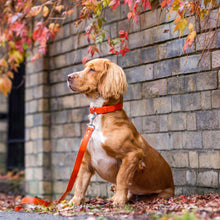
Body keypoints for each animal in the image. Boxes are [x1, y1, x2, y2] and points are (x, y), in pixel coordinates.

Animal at [66, 57, 174, 205]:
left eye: (92, 69)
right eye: (85, 68)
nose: (68, 77)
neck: (102, 115)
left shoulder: (133, 154)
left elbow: (121, 178)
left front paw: (119, 200)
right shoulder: (86, 161)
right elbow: (80, 184)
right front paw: (74, 202)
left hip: (161, 194)